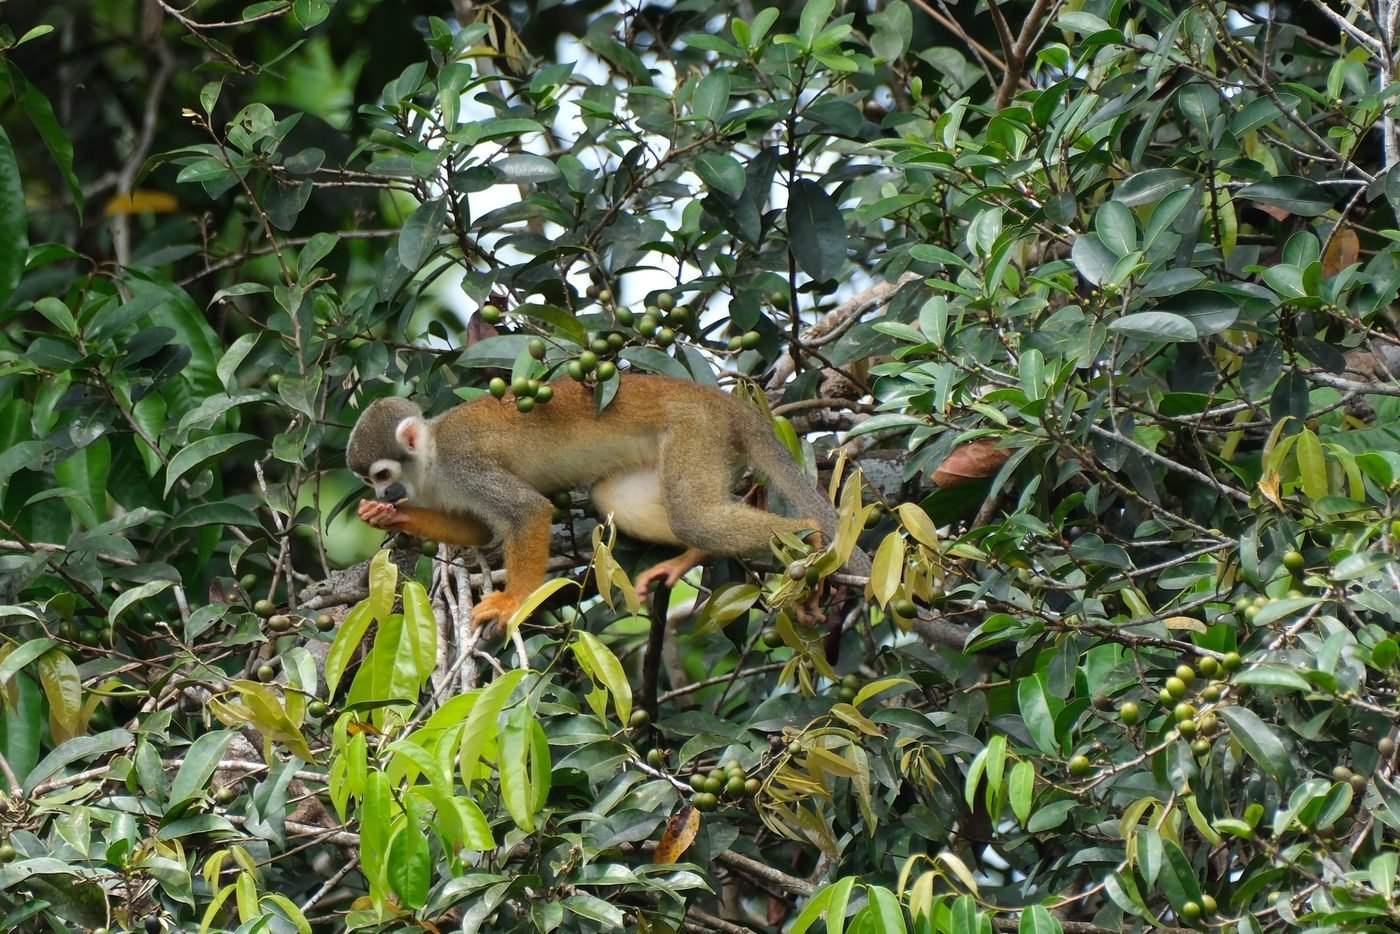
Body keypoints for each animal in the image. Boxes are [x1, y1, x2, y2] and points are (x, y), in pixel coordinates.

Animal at [346, 374, 852, 634]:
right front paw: (389, 517)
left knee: (694, 517)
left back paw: (810, 533)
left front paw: (513, 602)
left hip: (696, 429)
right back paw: (692, 555)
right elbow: (480, 530)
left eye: (382, 475)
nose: (383, 495)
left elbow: (528, 511)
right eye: (369, 481)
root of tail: (717, 398)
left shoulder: (462, 464)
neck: (430, 461)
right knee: (620, 499)